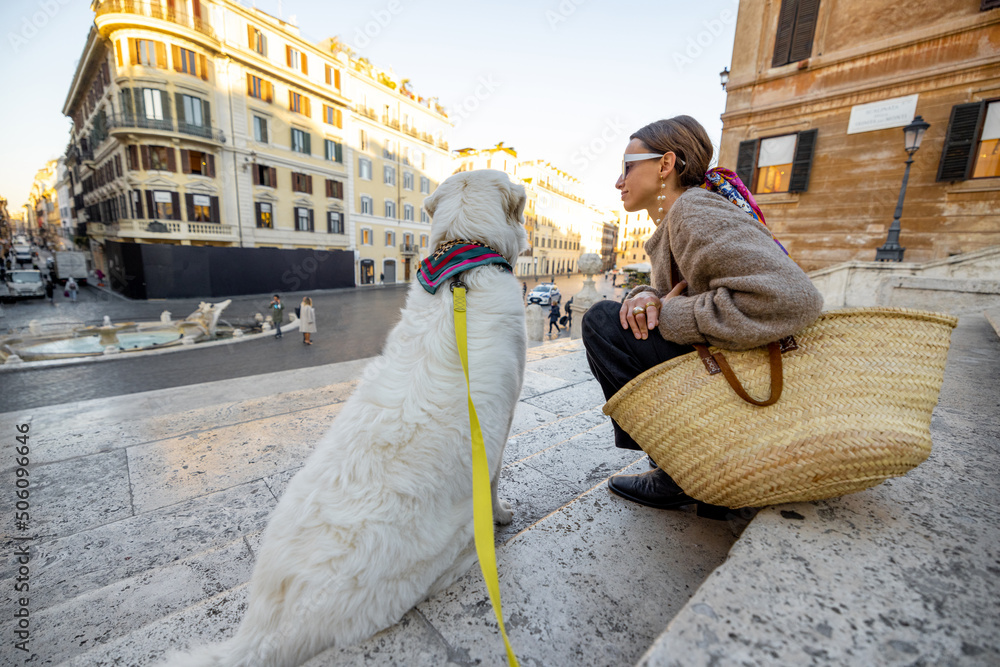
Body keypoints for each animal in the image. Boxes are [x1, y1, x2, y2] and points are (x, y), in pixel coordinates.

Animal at [160, 170, 528, 664]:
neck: (463, 261)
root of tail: (264, 632)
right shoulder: (500, 429)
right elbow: (495, 483)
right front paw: (502, 515)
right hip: (444, 540)